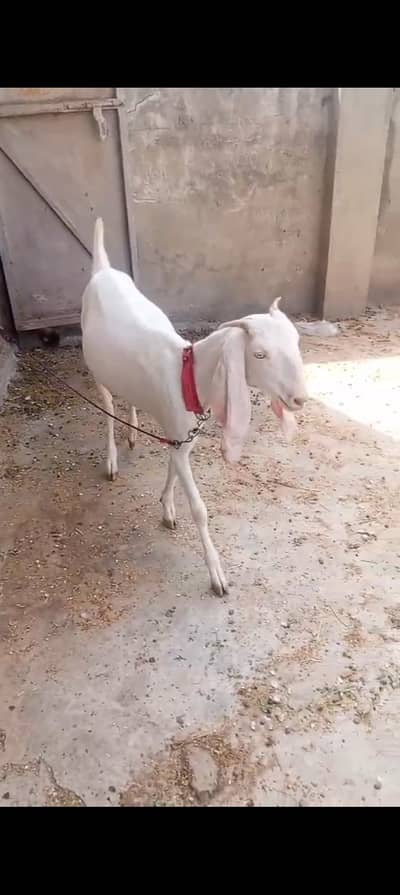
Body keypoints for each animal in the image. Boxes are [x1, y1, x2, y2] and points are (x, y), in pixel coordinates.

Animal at [81, 219, 308, 595]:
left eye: (297, 342)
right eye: (259, 354)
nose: (300, 398)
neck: (187, 374)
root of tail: (102, 268)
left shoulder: (182, 436)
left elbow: (174, 468)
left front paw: (167, 507)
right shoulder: (177, 430)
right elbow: (200, 509)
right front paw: (217, 576)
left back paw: (132, 433)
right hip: (93, 363)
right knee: (107, 402)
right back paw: (112, 457)